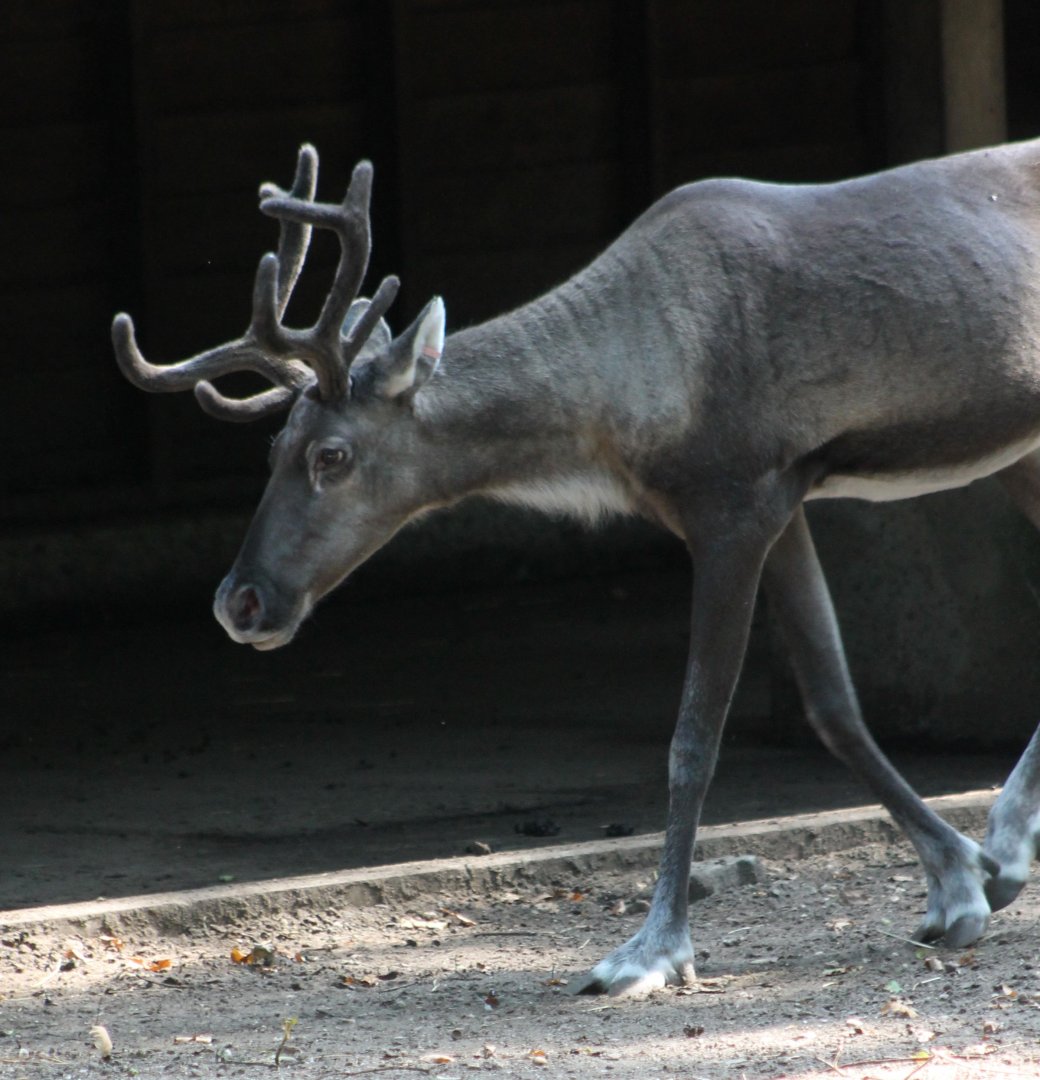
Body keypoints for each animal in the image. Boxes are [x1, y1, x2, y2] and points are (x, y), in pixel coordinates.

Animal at [113, 140, 1040, 996]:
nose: (239, 601)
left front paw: (650, 950)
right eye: (273, 445)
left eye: (332, 455)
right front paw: (962, 883)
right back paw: (1006, 837)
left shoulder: (736, 509)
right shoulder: (781, 507)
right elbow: (833, 706)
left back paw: (1008, 830)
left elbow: (693, 741)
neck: (613, 410)